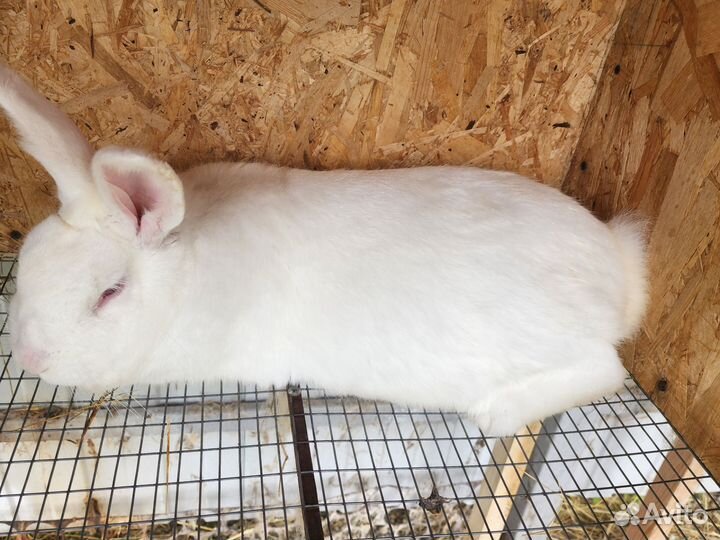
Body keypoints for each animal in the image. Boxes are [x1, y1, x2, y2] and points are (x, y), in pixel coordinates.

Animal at [0, 64, 648, 436]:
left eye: (109, 293)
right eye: (27, 258)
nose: (31, 358)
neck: (190, 272)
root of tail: (618, 267)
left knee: (606, 369)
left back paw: (496, 414)